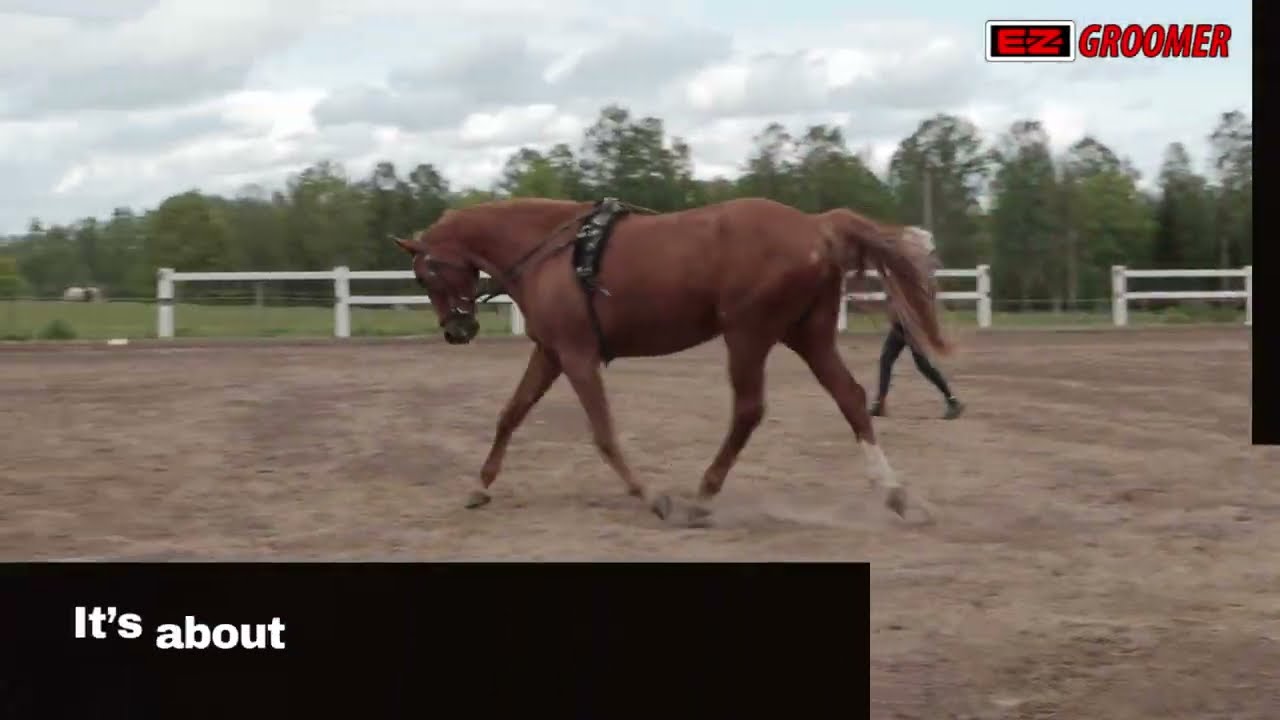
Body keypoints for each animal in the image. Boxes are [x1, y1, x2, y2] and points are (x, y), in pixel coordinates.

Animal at [391, 196, 951, 527]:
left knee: (749, 410)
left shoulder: (577, 355)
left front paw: (650, 495)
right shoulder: (550, 352)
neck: (552, 253)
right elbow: (511, 413)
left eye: (424, 275)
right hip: (807, 336)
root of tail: (816, 227)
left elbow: (603, 433)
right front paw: (479, 486)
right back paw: (894, 493)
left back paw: (702, 496)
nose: (456, 331)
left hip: (748, 336)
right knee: (850, 398)